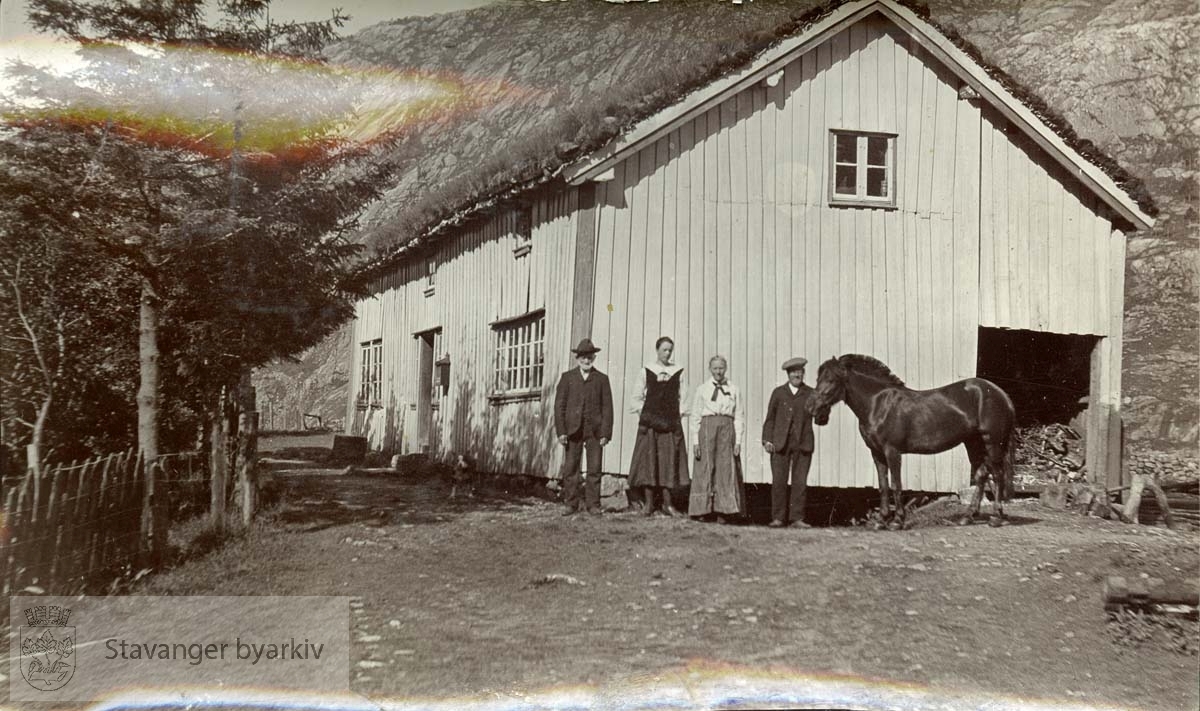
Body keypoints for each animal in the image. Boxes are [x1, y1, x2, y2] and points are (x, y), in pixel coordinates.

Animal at [811, 355, 1017, 528]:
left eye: (831, 380)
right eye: (818, 379)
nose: (814, 410)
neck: (878, 403)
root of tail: (1001, 394)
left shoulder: (892, 451)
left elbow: (896, 484)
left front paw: (897, 521)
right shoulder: (876, 453)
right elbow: (883, 486)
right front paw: (881, 521)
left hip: (992, 443)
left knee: (997, 474)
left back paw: (996, 517)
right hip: (973, 443)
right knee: (982, 475)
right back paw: (968, 516)